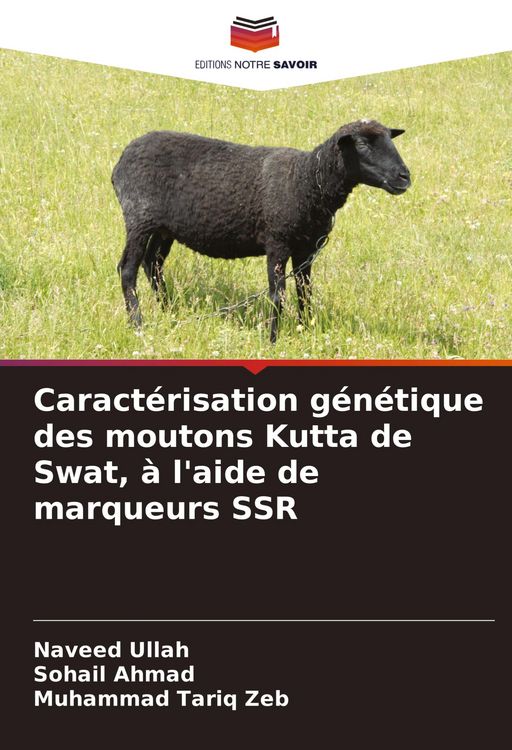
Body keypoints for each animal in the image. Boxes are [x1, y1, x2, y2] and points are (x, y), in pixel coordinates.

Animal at [112, 119, 411, 342]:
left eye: (390, 139)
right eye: (361, 144)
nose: (405, 177)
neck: (307, 179)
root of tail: (121, 160)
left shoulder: (306, 249)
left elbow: (305, 291)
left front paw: (306, 329)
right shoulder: (277, 241)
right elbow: (277, 295)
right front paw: (273, 340)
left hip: (163, 228)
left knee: (153, 264)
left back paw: (169, 310)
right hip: (139, 218)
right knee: (128, 269)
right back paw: (138, 324)